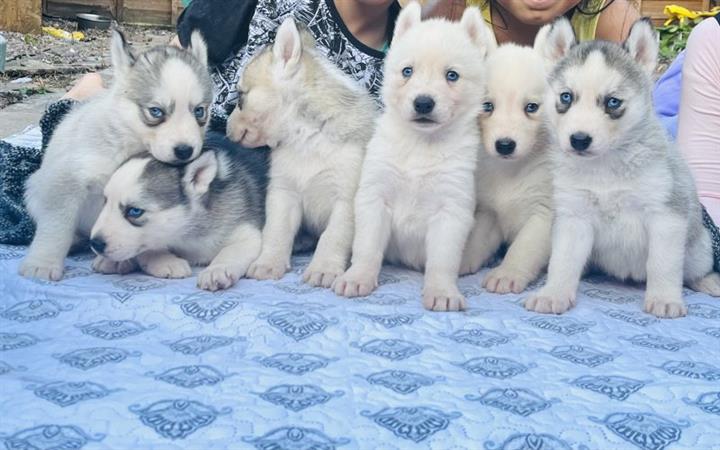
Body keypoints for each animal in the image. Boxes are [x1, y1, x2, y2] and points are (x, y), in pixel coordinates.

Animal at [228, 18, 376, 288]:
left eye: (241, 98)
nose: (225, 127)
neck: (306, 137)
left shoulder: (345, 201)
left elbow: (333, 236)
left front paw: (324, 268)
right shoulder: (283, 194)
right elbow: (276, 232)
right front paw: (268, 263)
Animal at [334, 3, 496, 312]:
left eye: (452, 75)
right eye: (407, 71)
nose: (423, 103)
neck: (421, 145)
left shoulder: (451, 208)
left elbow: (443, 260)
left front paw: (442, 292)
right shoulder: (375, 196)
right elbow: (367, 246)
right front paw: (358, 277)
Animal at [458, 32, 556, 296]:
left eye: (531, 107)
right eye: (487, 106)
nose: (504, 145)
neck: (512, 172)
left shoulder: (544, 215)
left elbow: (523, 249)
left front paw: (507, 274)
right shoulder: (489, 213)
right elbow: (476, 240)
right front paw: (460, 259)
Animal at [524, 17, 720, 318]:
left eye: (613, 102)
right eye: (566, 97)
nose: (579, 140)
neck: (605, 168)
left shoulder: (666, 217)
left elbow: (663, 264)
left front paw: (664, 298)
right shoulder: (574, 217)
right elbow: (563, 261)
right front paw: (553, 293)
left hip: (699, 249)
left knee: (693, 270)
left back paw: (708, 281)